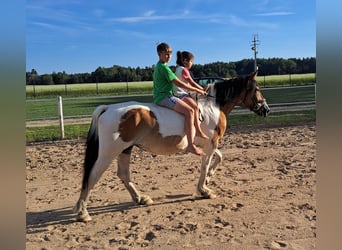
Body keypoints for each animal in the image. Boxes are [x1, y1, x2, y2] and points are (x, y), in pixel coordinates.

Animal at [74, 72, 270, 221]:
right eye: (257, 89)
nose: (266, 109)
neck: (212, 107)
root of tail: (108, 108)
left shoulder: (208, 144)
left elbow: (219, 157)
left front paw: (209, 178)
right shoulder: (211, 144)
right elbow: (205, 165)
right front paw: (204, 190)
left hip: (125, 150)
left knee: (123, 174)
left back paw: (140, 198)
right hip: (109, 153)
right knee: (93, 176)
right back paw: (83, 212)